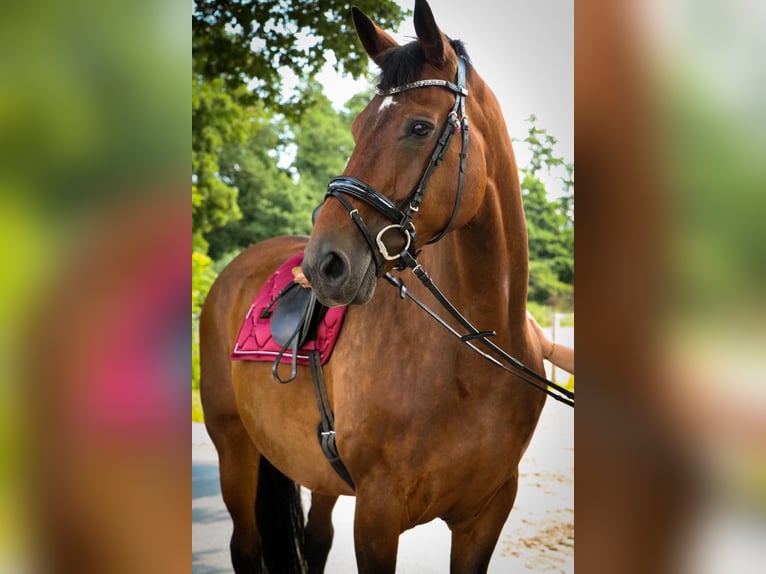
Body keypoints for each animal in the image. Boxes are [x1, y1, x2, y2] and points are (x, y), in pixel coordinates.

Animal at [200, 1, 552, 571]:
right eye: (357, 126)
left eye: (418, 126)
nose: (325, 263)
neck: (473, 355)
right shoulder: (377, 516)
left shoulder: (485, 518)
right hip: (234, 448)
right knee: (245, 546)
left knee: (316, 538)